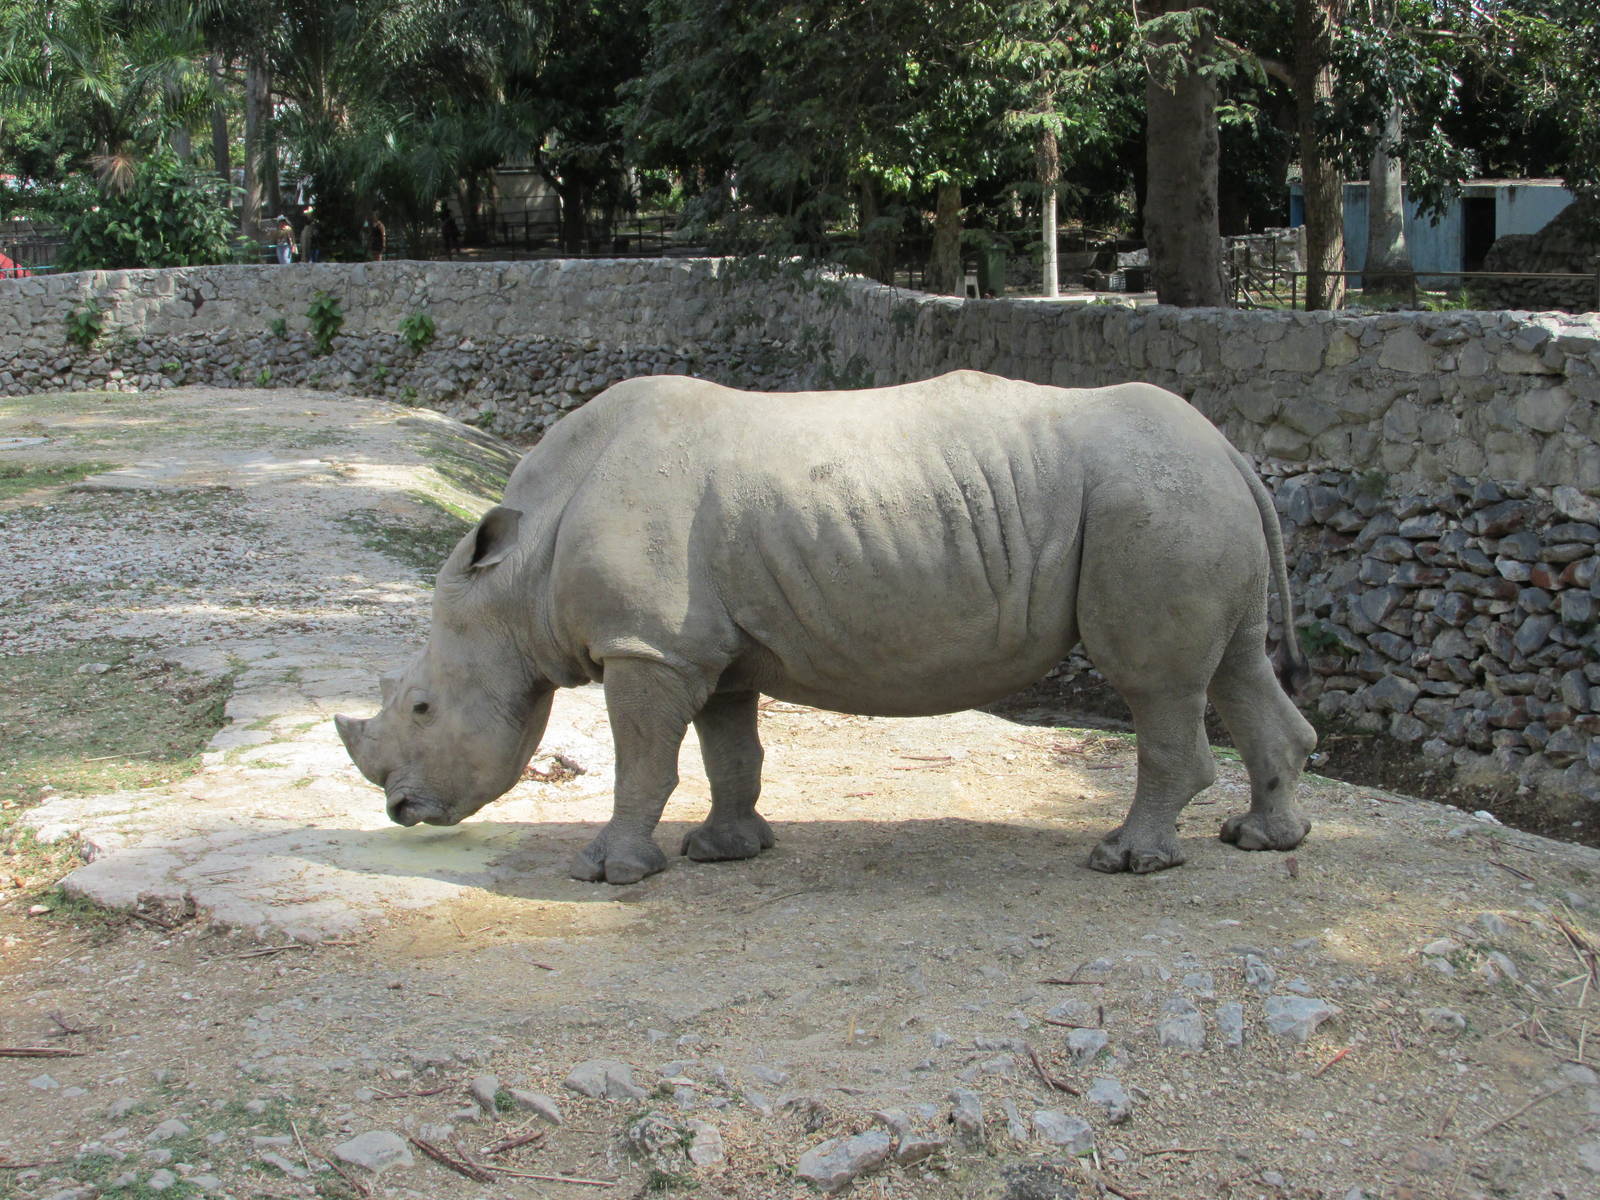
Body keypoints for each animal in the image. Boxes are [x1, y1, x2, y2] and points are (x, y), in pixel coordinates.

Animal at [336, 370, 1317, 884]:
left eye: (420, 708)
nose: (399, 811)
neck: (521, 571)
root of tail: (1230, 449)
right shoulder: (705, 650)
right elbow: (730, 753)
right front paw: (725, 852)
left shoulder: (646, 647)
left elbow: (643, 760)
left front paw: (608, 873)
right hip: (1186, 500)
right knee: (1236, 666)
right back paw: (1264, 840)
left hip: (1153, 503)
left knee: (1156, 682)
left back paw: (1124, 860)